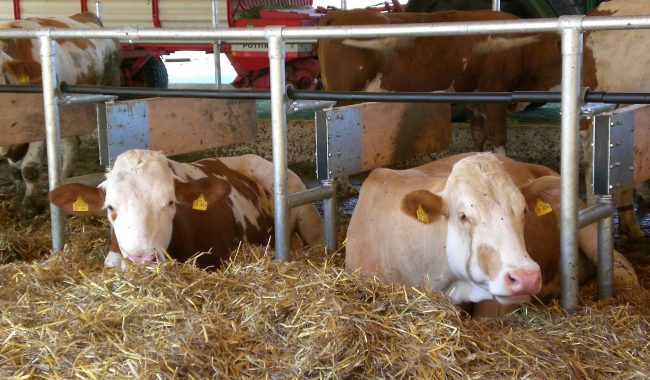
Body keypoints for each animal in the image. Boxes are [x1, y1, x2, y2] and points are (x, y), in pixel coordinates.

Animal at [0, 13, 121, 220]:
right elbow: (14, 170)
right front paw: (17, 196)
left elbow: (29, 168)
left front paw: (29, 206)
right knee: (71, 143)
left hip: (109, 84)